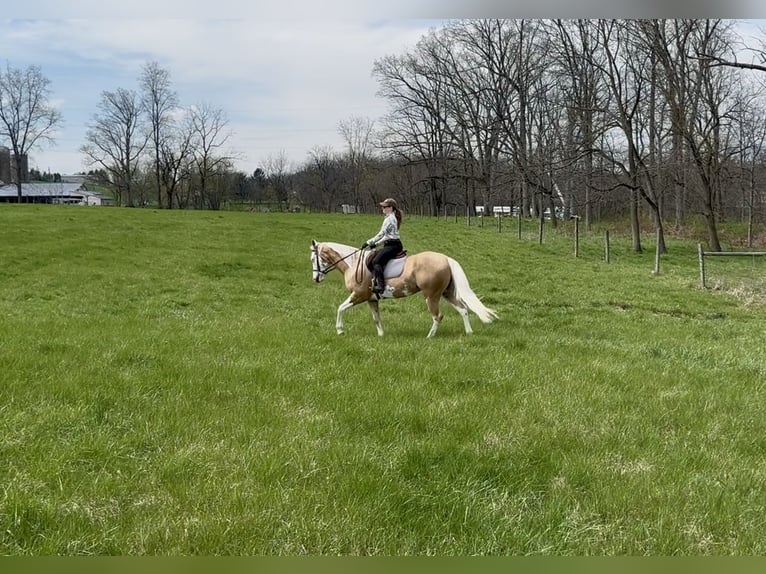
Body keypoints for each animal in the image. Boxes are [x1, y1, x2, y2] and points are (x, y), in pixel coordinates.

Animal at [310, 240, 498, 338]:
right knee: (463, 309)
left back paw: (429, 337)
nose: (316, 279)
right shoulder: (371, 300)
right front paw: (381, 335)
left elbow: (340, 308)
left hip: (431, 296)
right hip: (447, 293)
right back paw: (469, 333)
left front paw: (340, 330)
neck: (354, 264)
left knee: (438, 316)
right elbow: (376, 318)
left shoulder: (359, 295)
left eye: (313, 258)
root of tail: (445, 258)